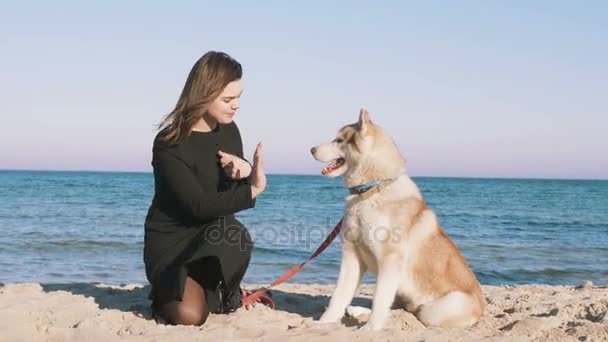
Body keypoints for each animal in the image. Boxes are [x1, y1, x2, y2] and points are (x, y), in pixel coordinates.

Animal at [308, 108, 484, 330]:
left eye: (338, 140)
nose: (312, 149)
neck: (373, 190)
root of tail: (482, 307)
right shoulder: (352, 256)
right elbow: (339, 296)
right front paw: (325, 322)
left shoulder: (389, 261)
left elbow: (379, 299)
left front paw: (370, 329)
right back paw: (357, 310)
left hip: (432, 311)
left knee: (411, 311)